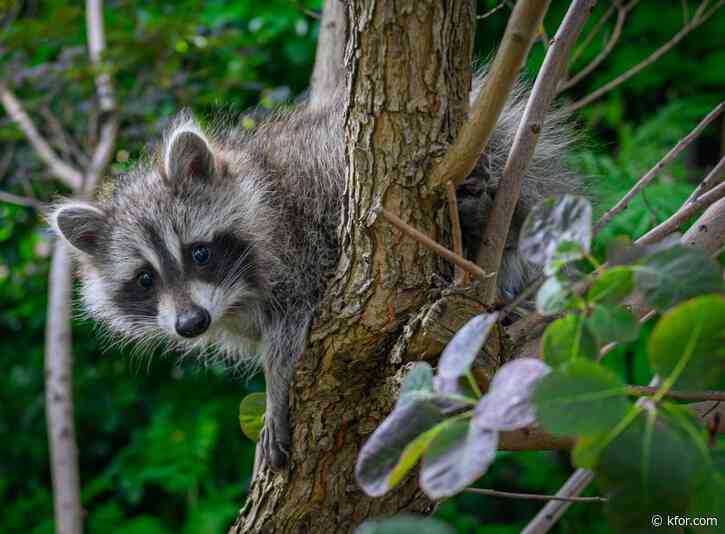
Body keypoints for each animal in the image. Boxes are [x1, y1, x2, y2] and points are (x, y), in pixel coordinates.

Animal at [49, 78, 576, 468]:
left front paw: (275, 390)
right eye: (145, 279)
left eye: (199, 253)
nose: (191, 324)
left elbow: (289, 333)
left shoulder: (300, 245)